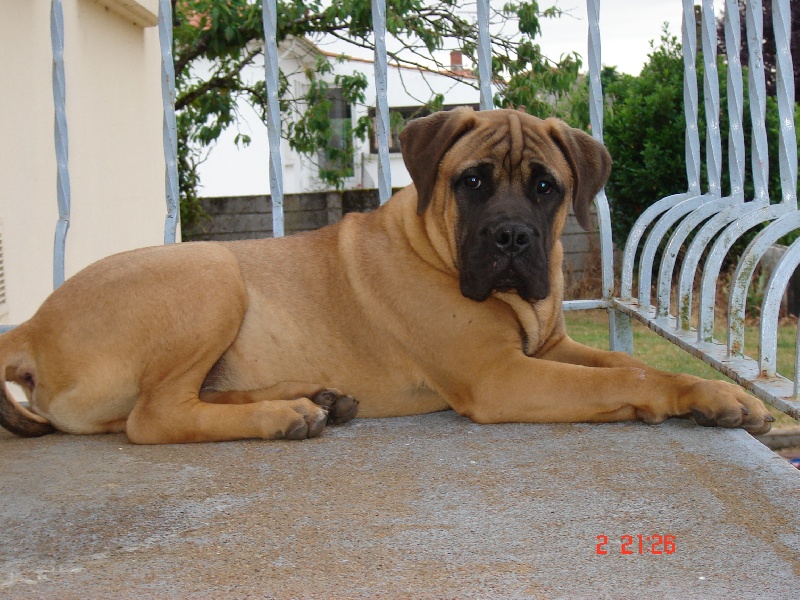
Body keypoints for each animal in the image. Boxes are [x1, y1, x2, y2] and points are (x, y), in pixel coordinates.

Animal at [0, 107, 774, 444]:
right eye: (471, 182)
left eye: (546, 187)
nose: (512, 237)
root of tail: (31, 325)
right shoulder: (502, 376)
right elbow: (625, 379)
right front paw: (695, 397)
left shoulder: (550, 347)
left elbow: (623, 362)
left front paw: (719, 392)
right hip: (210, 269)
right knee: (152, 418)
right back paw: (282, 417)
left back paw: (312, 397)